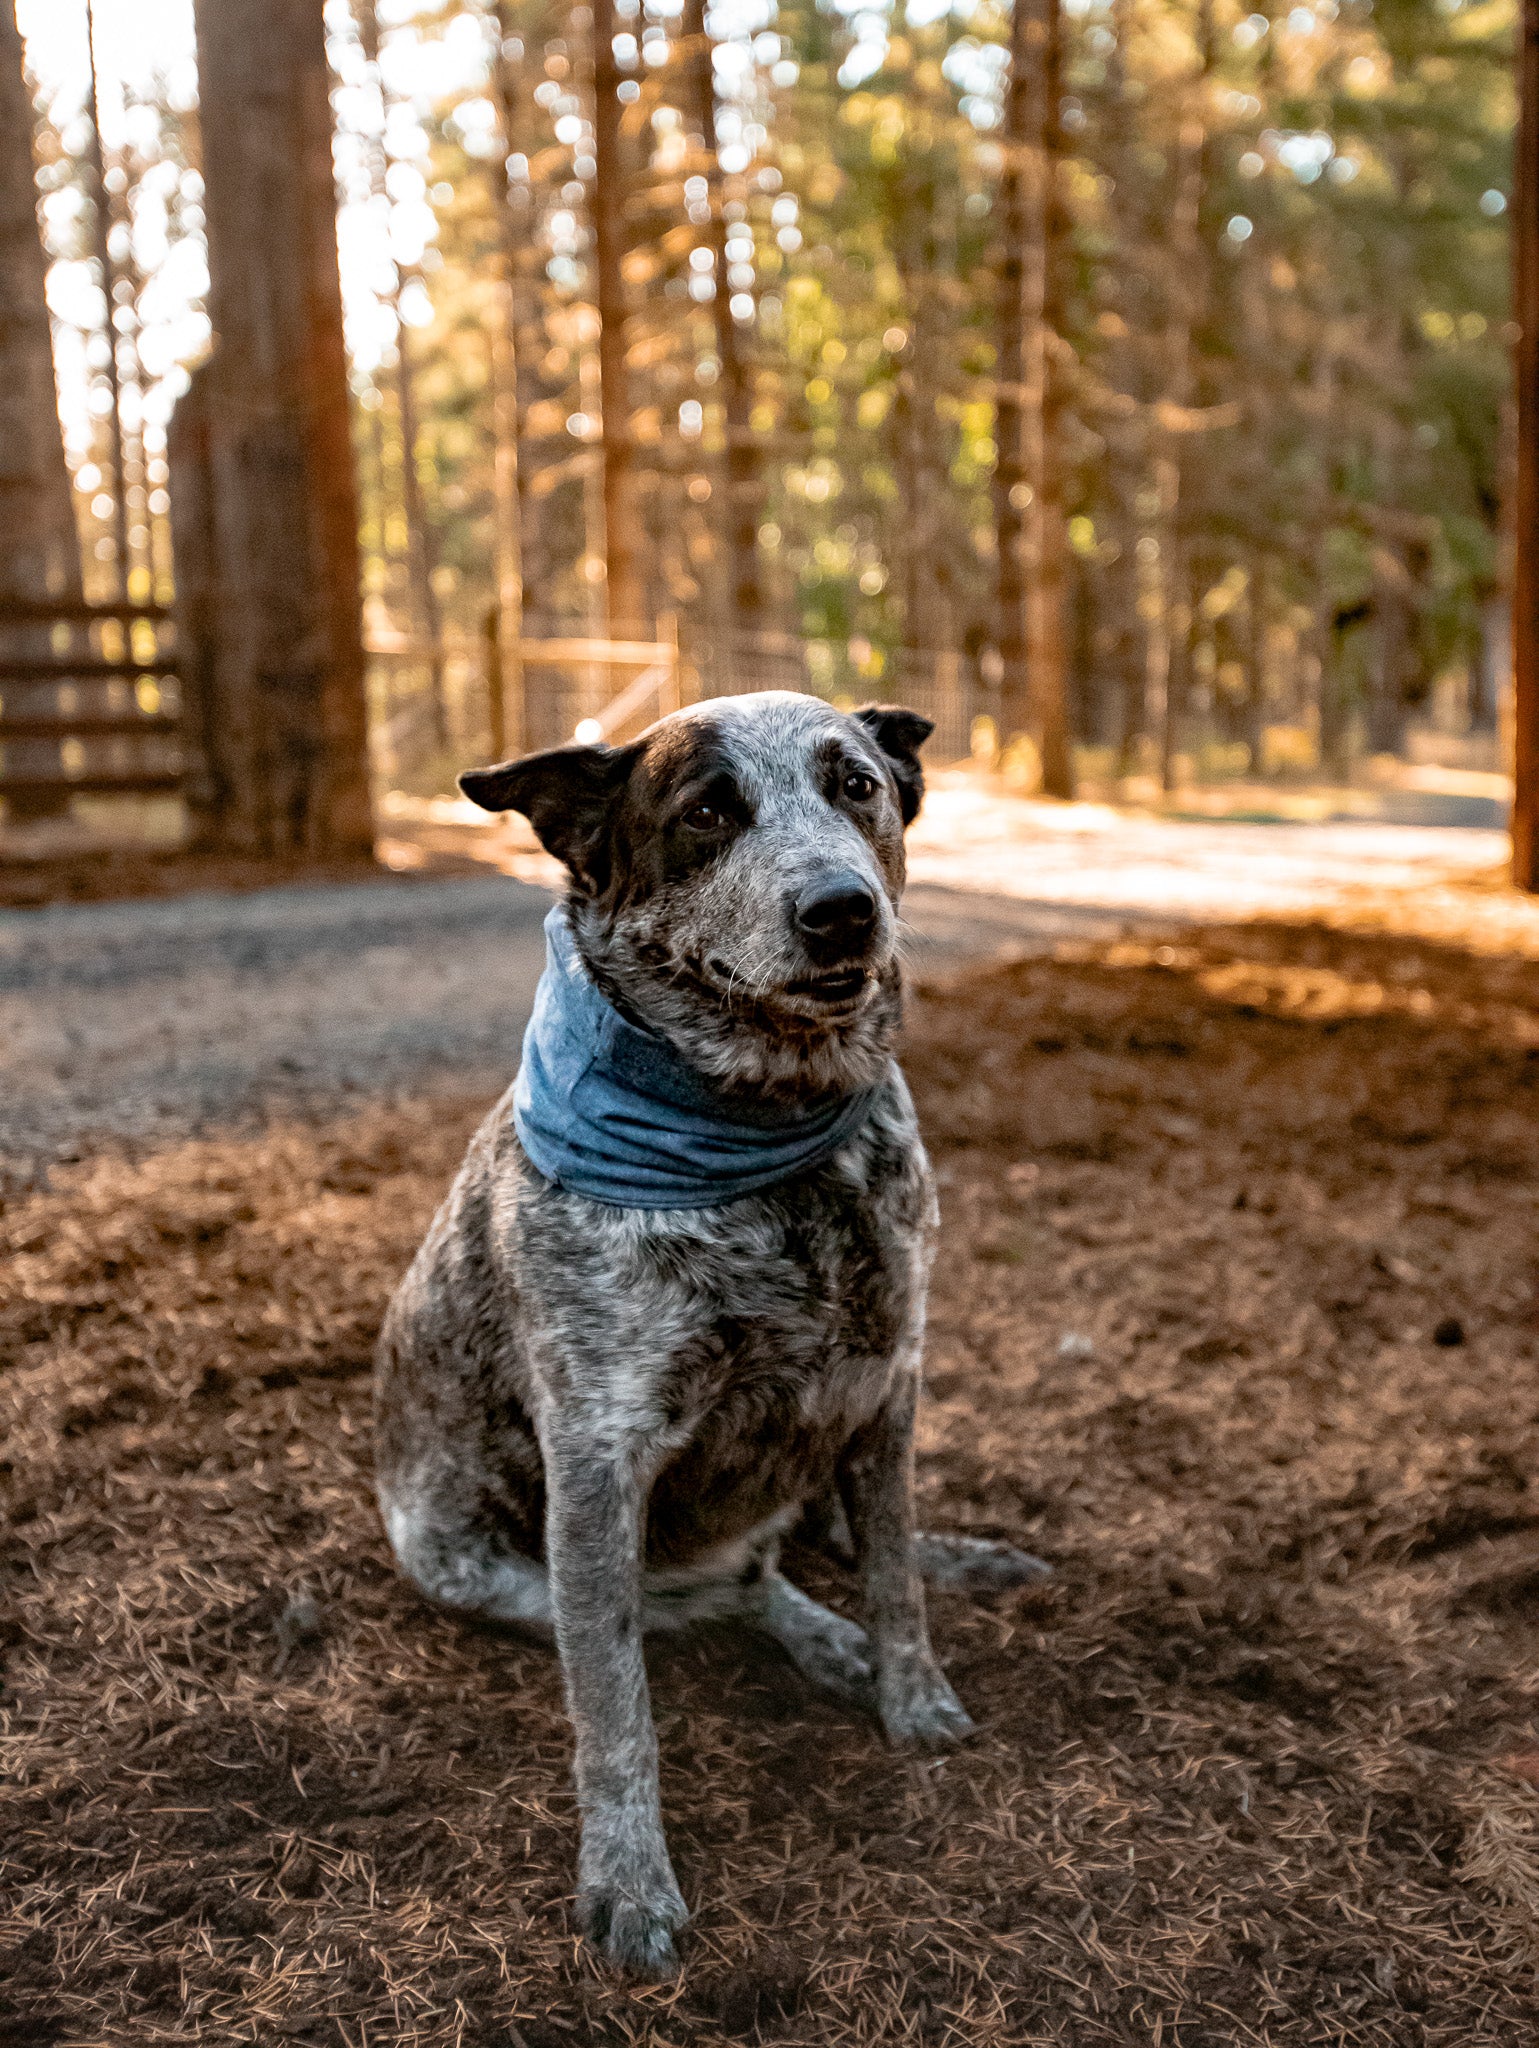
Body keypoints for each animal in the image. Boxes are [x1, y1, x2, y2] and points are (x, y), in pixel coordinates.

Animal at [375, 688, 1049, 1966]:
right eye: (704, 813)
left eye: (858, 786)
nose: (842, 908)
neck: (770, 1134)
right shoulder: (599, 1462)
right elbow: (615, 1706)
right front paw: (629, 1880)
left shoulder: (887, 1387)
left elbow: (894, 1575)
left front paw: (914, 1695)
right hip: (473, 1566)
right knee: (719, 1591)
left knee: (798, 1552)